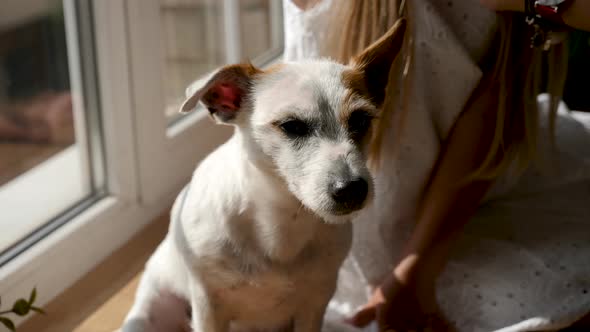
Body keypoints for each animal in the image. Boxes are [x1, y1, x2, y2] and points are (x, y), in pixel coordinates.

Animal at [121, 18, 408, 332]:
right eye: (292, 126)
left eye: (361, 120)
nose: (353, 189)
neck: (283, 218)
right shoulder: (209, 306)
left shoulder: (315, 303)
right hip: (146, 315)